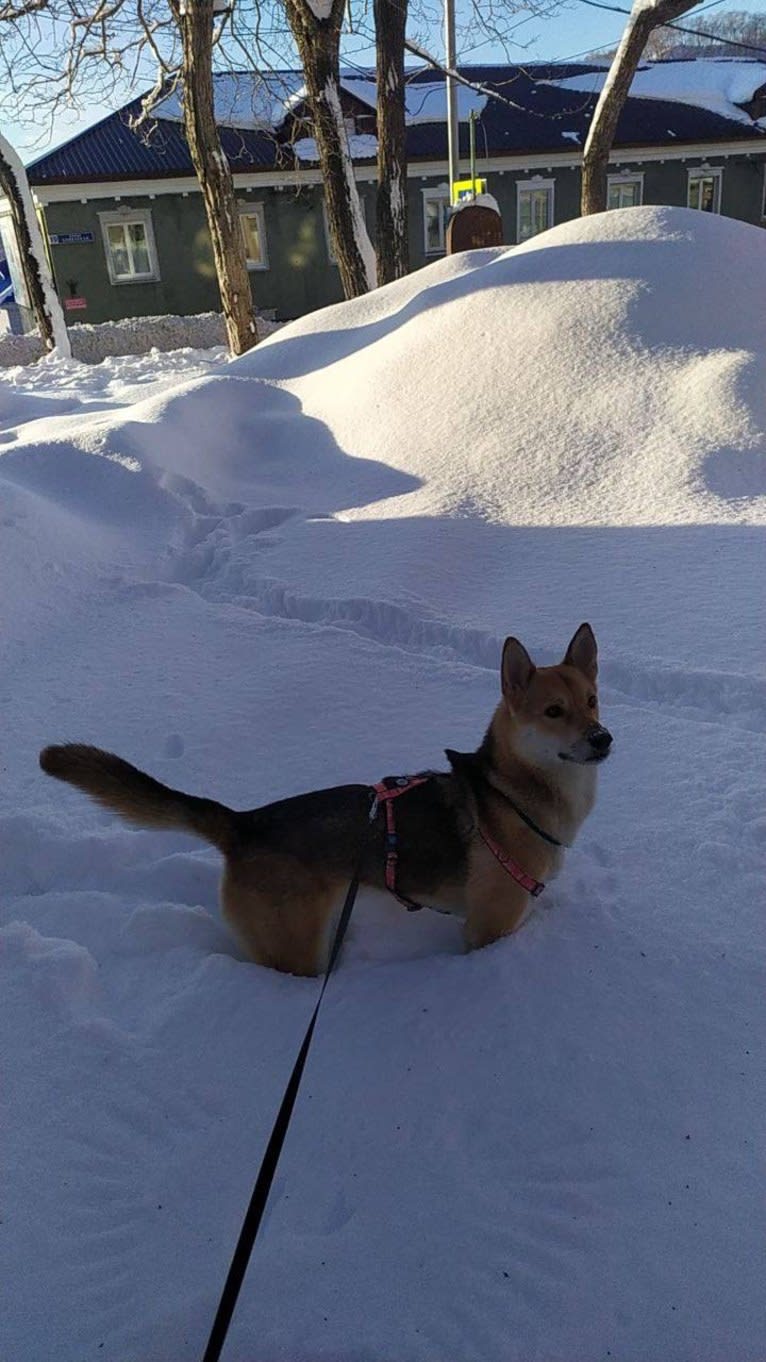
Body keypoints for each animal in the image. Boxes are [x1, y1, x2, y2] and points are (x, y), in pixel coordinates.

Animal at [38, 623, 607, 975]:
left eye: (592, 700)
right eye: (553, 711)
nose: (604, 739)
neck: (511, 792)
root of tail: (244, 823)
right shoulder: (488, 928)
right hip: (295, 949)